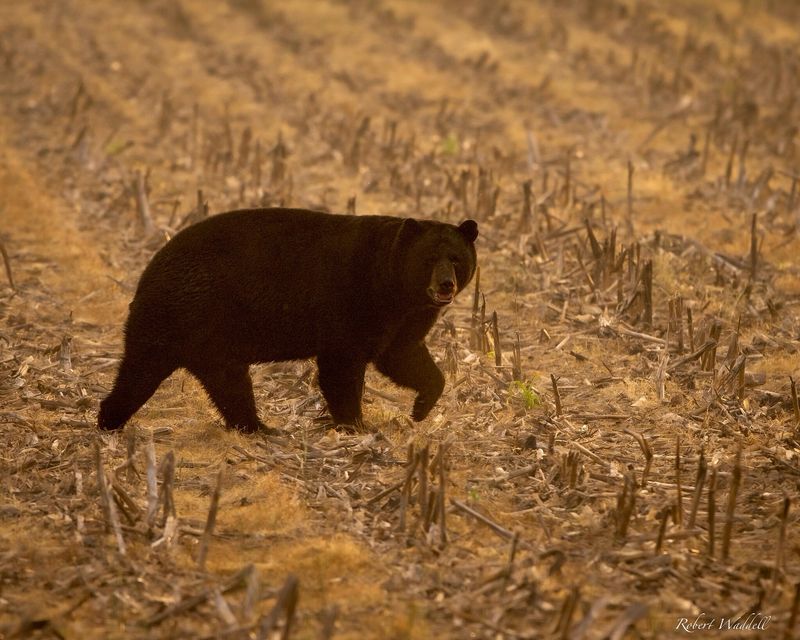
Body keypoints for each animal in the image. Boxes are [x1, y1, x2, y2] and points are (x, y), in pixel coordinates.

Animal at [97, 208, 478, 432]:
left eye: (456, 258)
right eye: (428, 258)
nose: (445, 285)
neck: (394, 287)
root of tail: (150, 268)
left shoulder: (404, 319)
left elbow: (403, 357)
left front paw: (420, 409)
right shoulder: (353, 304)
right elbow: (342, 366)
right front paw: (355, 425)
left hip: (205, 337)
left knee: (221, 382)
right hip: (183, 314)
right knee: (144, 369)